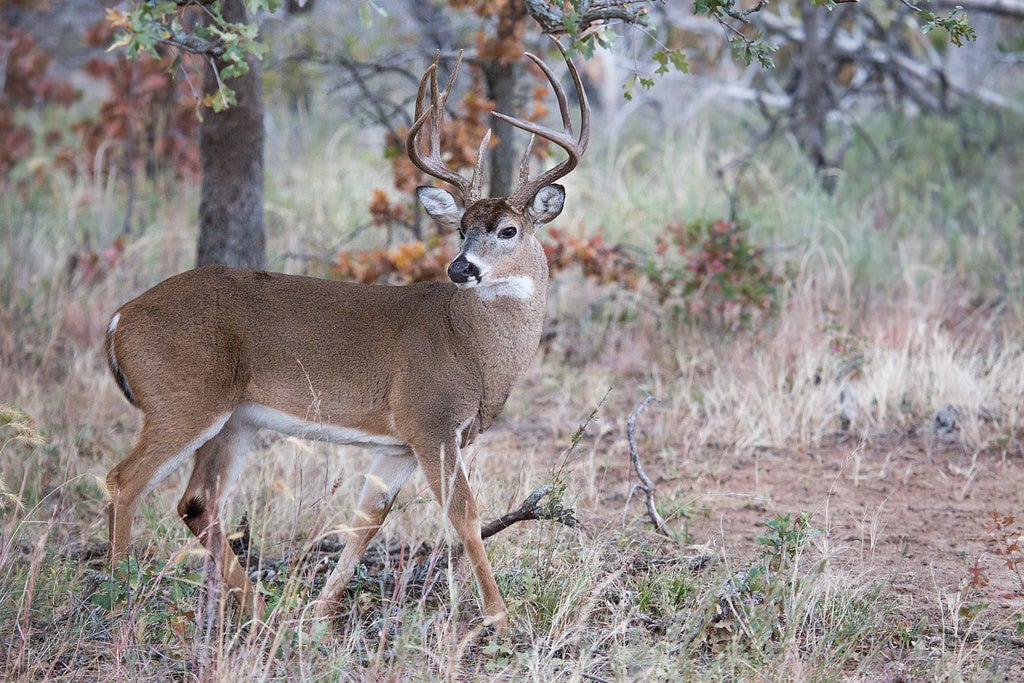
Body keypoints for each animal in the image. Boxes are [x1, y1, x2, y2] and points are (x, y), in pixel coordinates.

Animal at [102, 40, 589, 634]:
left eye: (507, 229)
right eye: (460, 228)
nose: (460, 268)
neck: (471, 348)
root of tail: (119, 319)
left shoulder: (399, 443)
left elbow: (366, 521)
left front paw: (318, 613)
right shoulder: (430, 419)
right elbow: (466, 516)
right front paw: (501, 619)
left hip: (235, 419)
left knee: (196, 503)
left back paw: (262, 612)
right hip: (182, 399)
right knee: (125, 482)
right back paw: (120, 602)